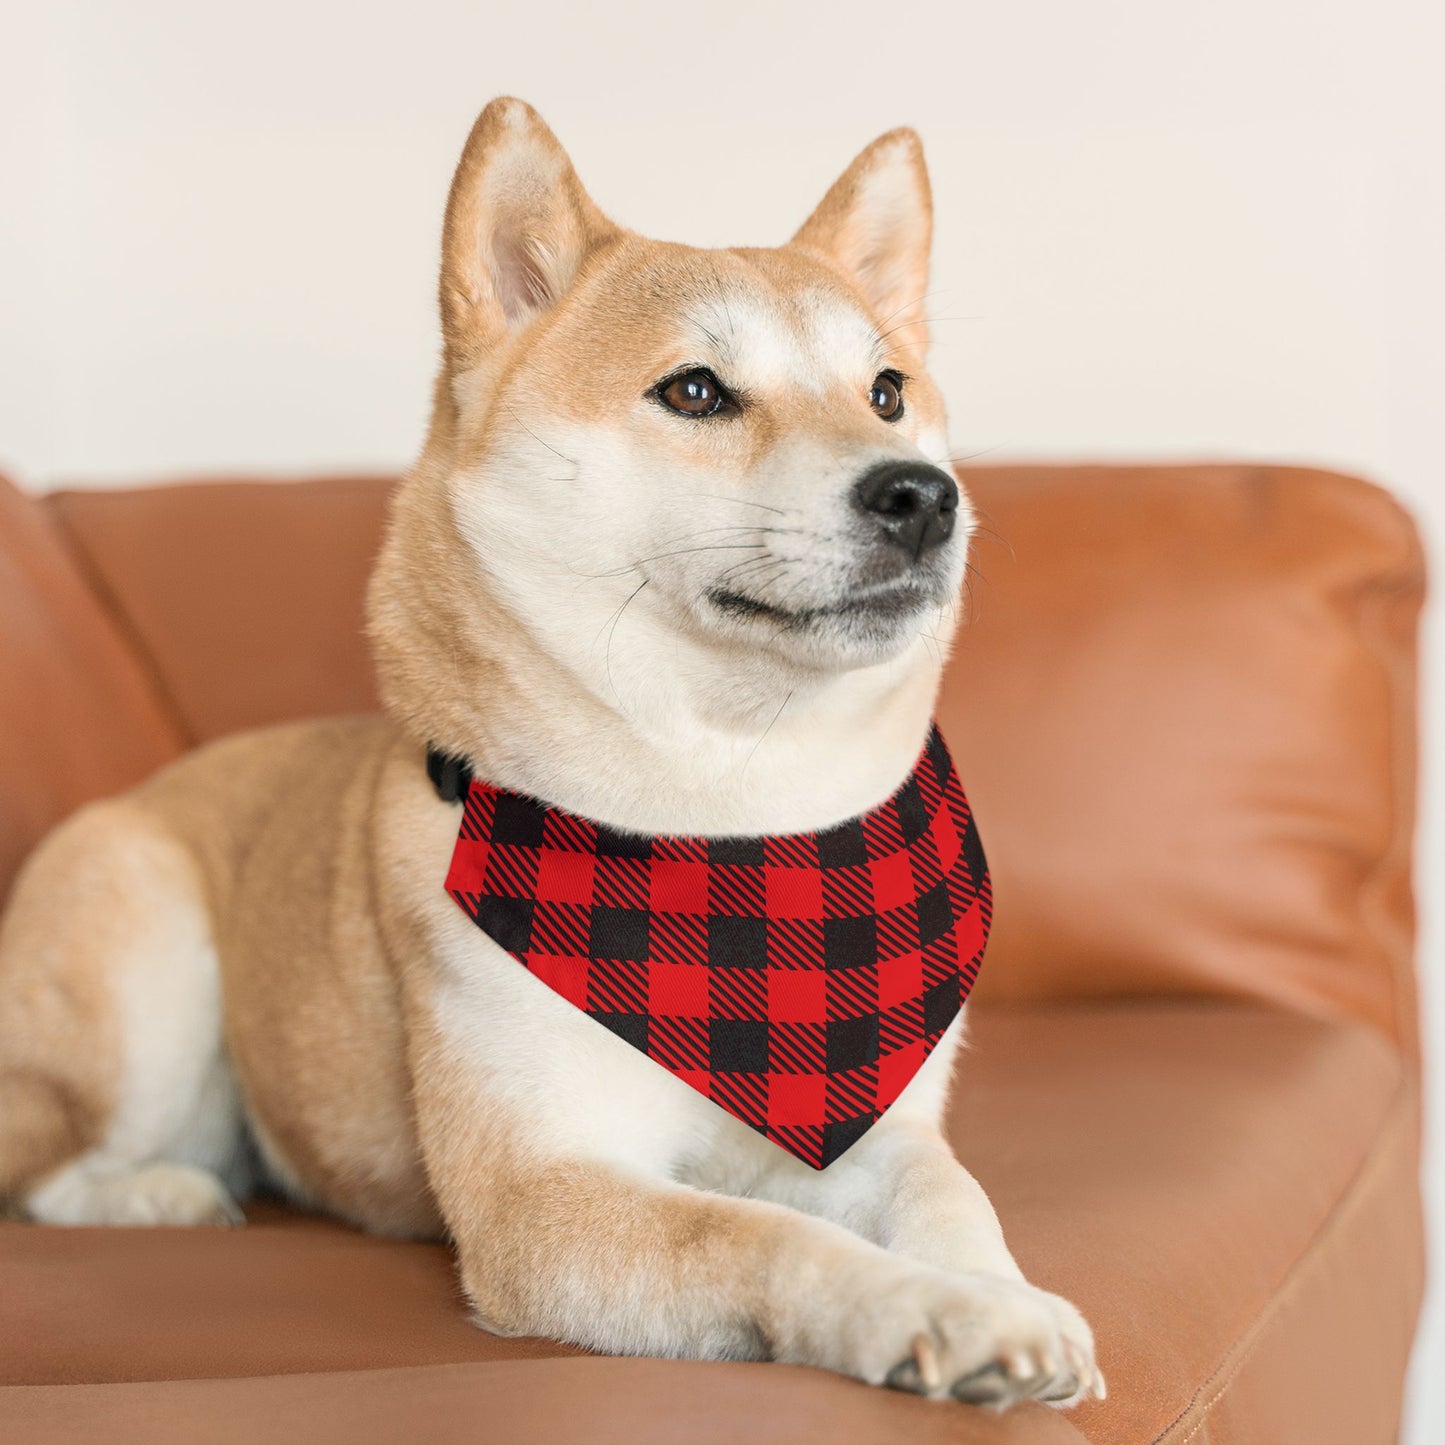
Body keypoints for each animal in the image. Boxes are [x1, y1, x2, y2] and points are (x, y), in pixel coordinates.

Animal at [0, 96, 1098, 1404]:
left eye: (886, 390)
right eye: (694, 390)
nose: (923, 494)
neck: (731, 824)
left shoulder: (882, 1127)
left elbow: (950, 1194)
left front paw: (1002, 1292)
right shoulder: (541, 1193)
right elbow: (766, 1234)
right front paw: (929, 1308)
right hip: (144, 962)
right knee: (48, 1165)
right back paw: (162, 1192)